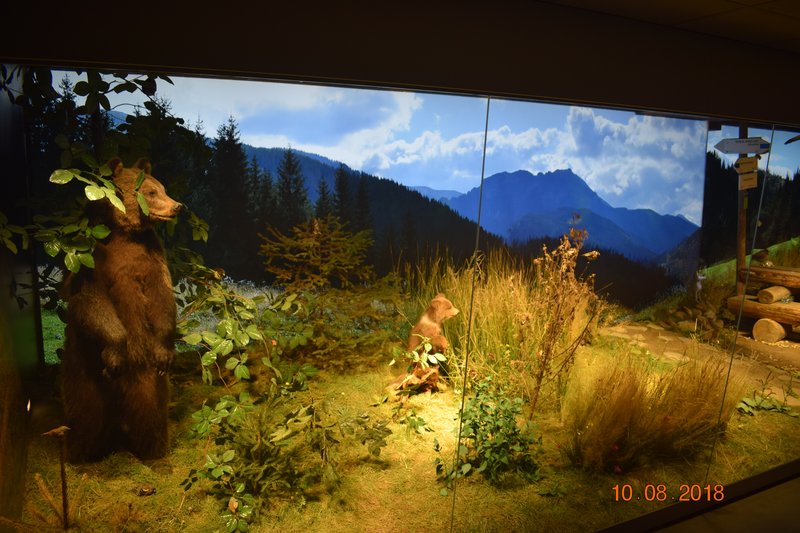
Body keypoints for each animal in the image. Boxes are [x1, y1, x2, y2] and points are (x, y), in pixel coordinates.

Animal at [61, 158, 181, 462]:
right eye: (151, 191)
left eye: (162, 187)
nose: (177, 206)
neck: (124, 234)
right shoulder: (90, 258)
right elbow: (91, 301)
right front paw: (115, 353)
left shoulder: (152, 258)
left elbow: (162, 298)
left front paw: (165, 353)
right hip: (82, 368)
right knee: (84, 413)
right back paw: (79, 454)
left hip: (144, 372)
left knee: (149, 410)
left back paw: (155, 450)